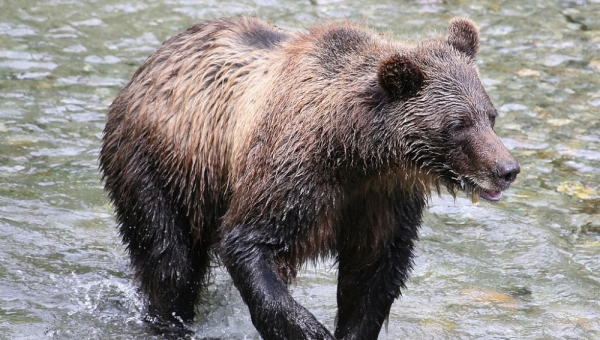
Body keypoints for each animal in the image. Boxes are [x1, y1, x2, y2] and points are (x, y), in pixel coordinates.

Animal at [99, 15, 520, 340]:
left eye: (490, 115)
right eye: (457, 125)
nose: (507, 169)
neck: (357, 152)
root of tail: (150, 63)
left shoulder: (383, 199)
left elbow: (373, 274)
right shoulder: (294, 174)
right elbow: (250, 241)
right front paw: (308, 329)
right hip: (157, 165)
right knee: (168, 261)